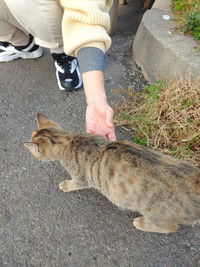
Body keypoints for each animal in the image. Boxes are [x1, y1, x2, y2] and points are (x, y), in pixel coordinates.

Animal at [24, 114, 200, 233]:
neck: (69, 140)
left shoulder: (81, 178)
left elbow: (75, 183)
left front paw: (66, 185)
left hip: (157, 214)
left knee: (171, 227)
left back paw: (142, 223)